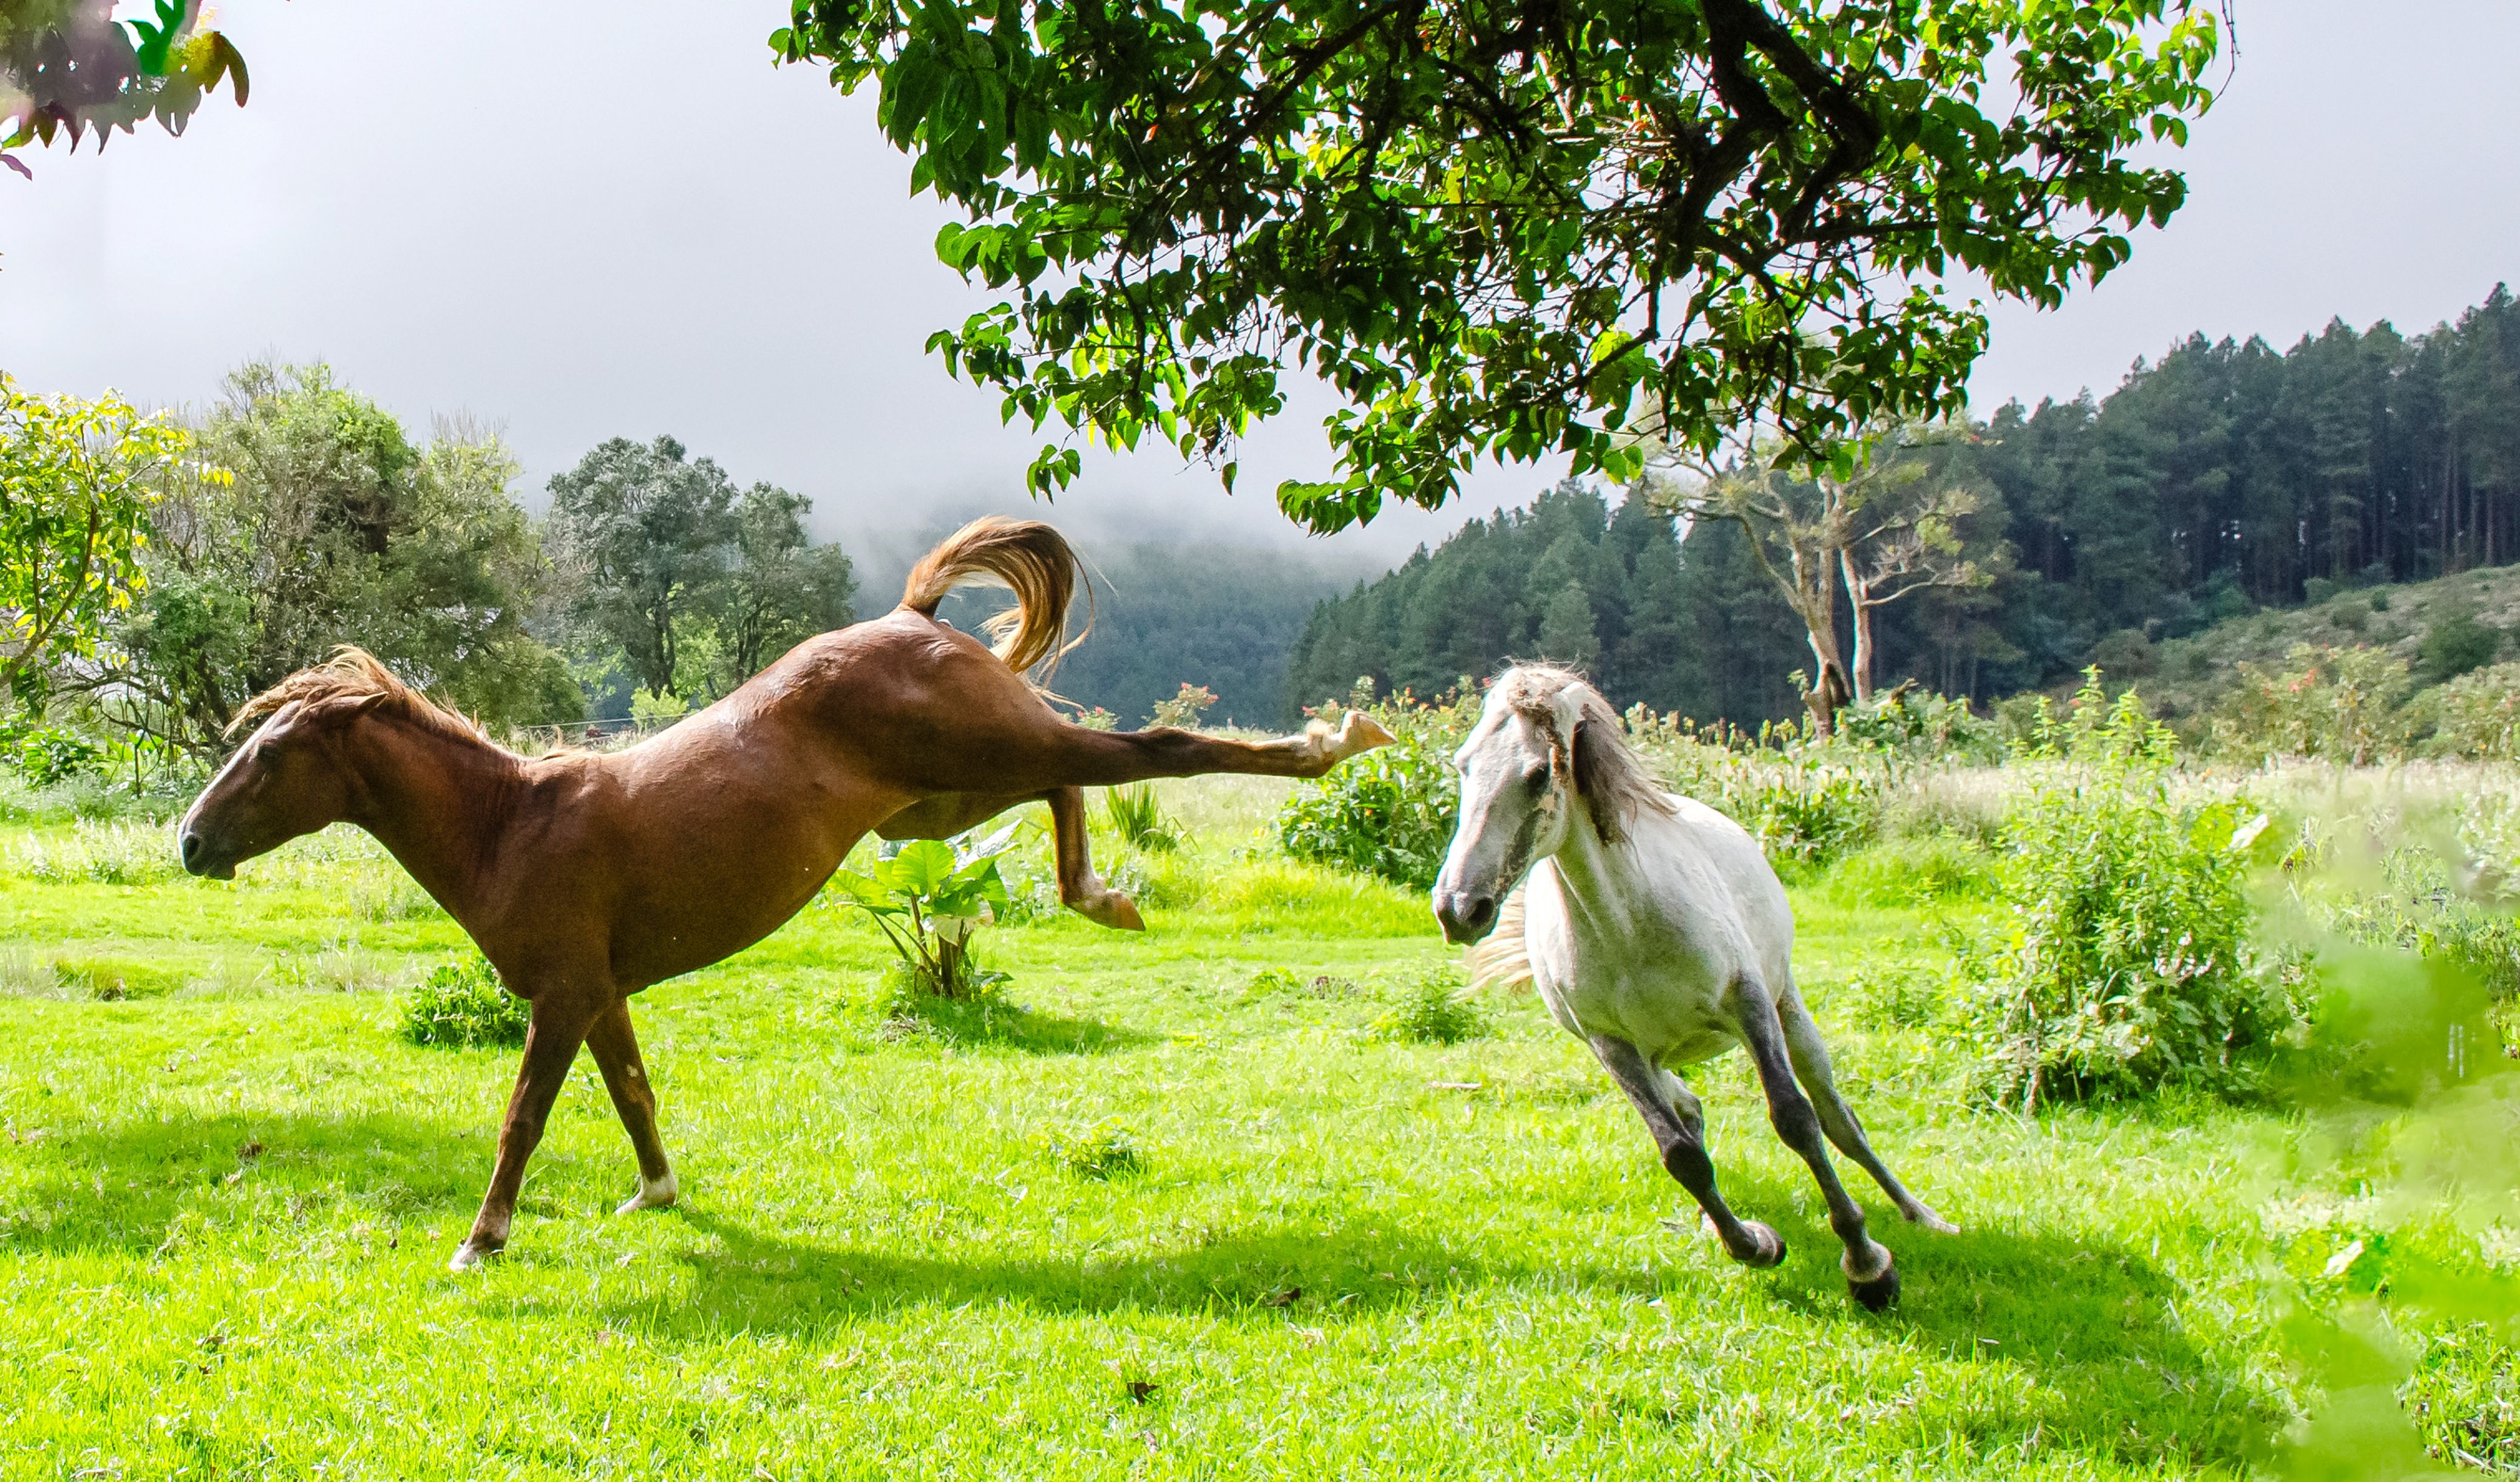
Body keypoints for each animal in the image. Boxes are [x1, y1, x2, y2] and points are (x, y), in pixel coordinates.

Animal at [176, 517, 1394, 1272]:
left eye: (271, 754)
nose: (190, 842)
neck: (510, 825)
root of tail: (914, 616)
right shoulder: (600, 993)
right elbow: (633, 1094)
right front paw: (655, 1194)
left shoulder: (560, 997)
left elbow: (525, 1117)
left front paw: (480, 1242)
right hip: (939, 802)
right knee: (1076, 780)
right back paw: (1103, 894)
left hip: (979, 756)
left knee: (1154, 750)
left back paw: (1332, 745)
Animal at [1429, 664, 1954, 1310]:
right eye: (1463, 764)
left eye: (1536, 774)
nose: (1459, 908)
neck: (1628, 926)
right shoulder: (1614, 1047)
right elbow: (1680, 1154)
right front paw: (1755, 1244)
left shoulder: (1748, 1004)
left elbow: (1795, 1119)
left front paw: (1867, 1267)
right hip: (1659, 1057)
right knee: (1691, 1112)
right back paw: (1719, 1225)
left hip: (1789, 1010)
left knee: (1839, 1119)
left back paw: (1922, 1216)